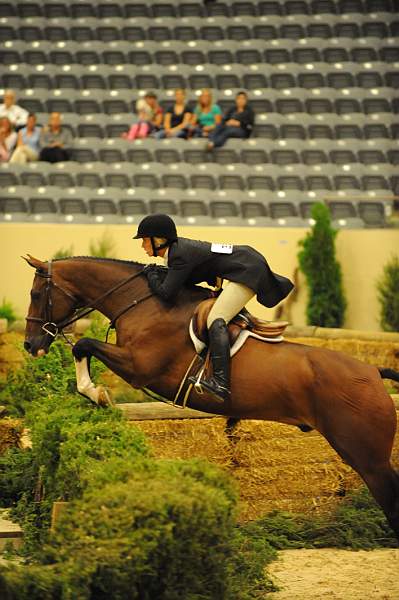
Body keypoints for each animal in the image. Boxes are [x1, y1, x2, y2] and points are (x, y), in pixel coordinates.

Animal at [22, 253, 399, 540]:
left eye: (37, 294)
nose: (30, 345)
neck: (143, 303)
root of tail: (373, 371)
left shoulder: (139, 366)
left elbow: (83, 345)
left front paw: (97, 394)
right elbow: (84, 349)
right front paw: (94, 394)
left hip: (368, 457)